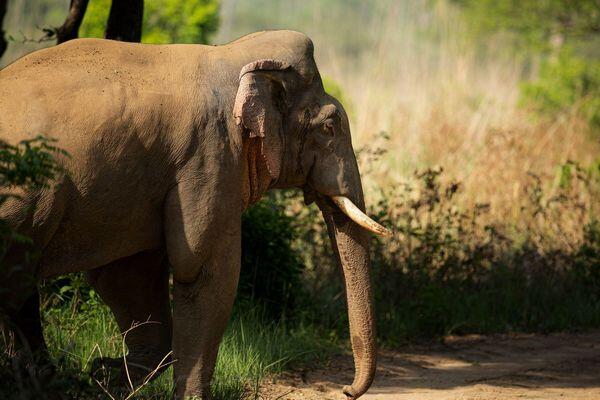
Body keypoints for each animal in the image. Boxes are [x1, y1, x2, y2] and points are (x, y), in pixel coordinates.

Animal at [0, 31, 392, 400]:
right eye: (328, 128)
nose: (347, 390)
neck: (233, 55)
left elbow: (127, 275)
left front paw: (103, 376)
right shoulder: (209, 157)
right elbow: (204, 268)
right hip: (23, 202)